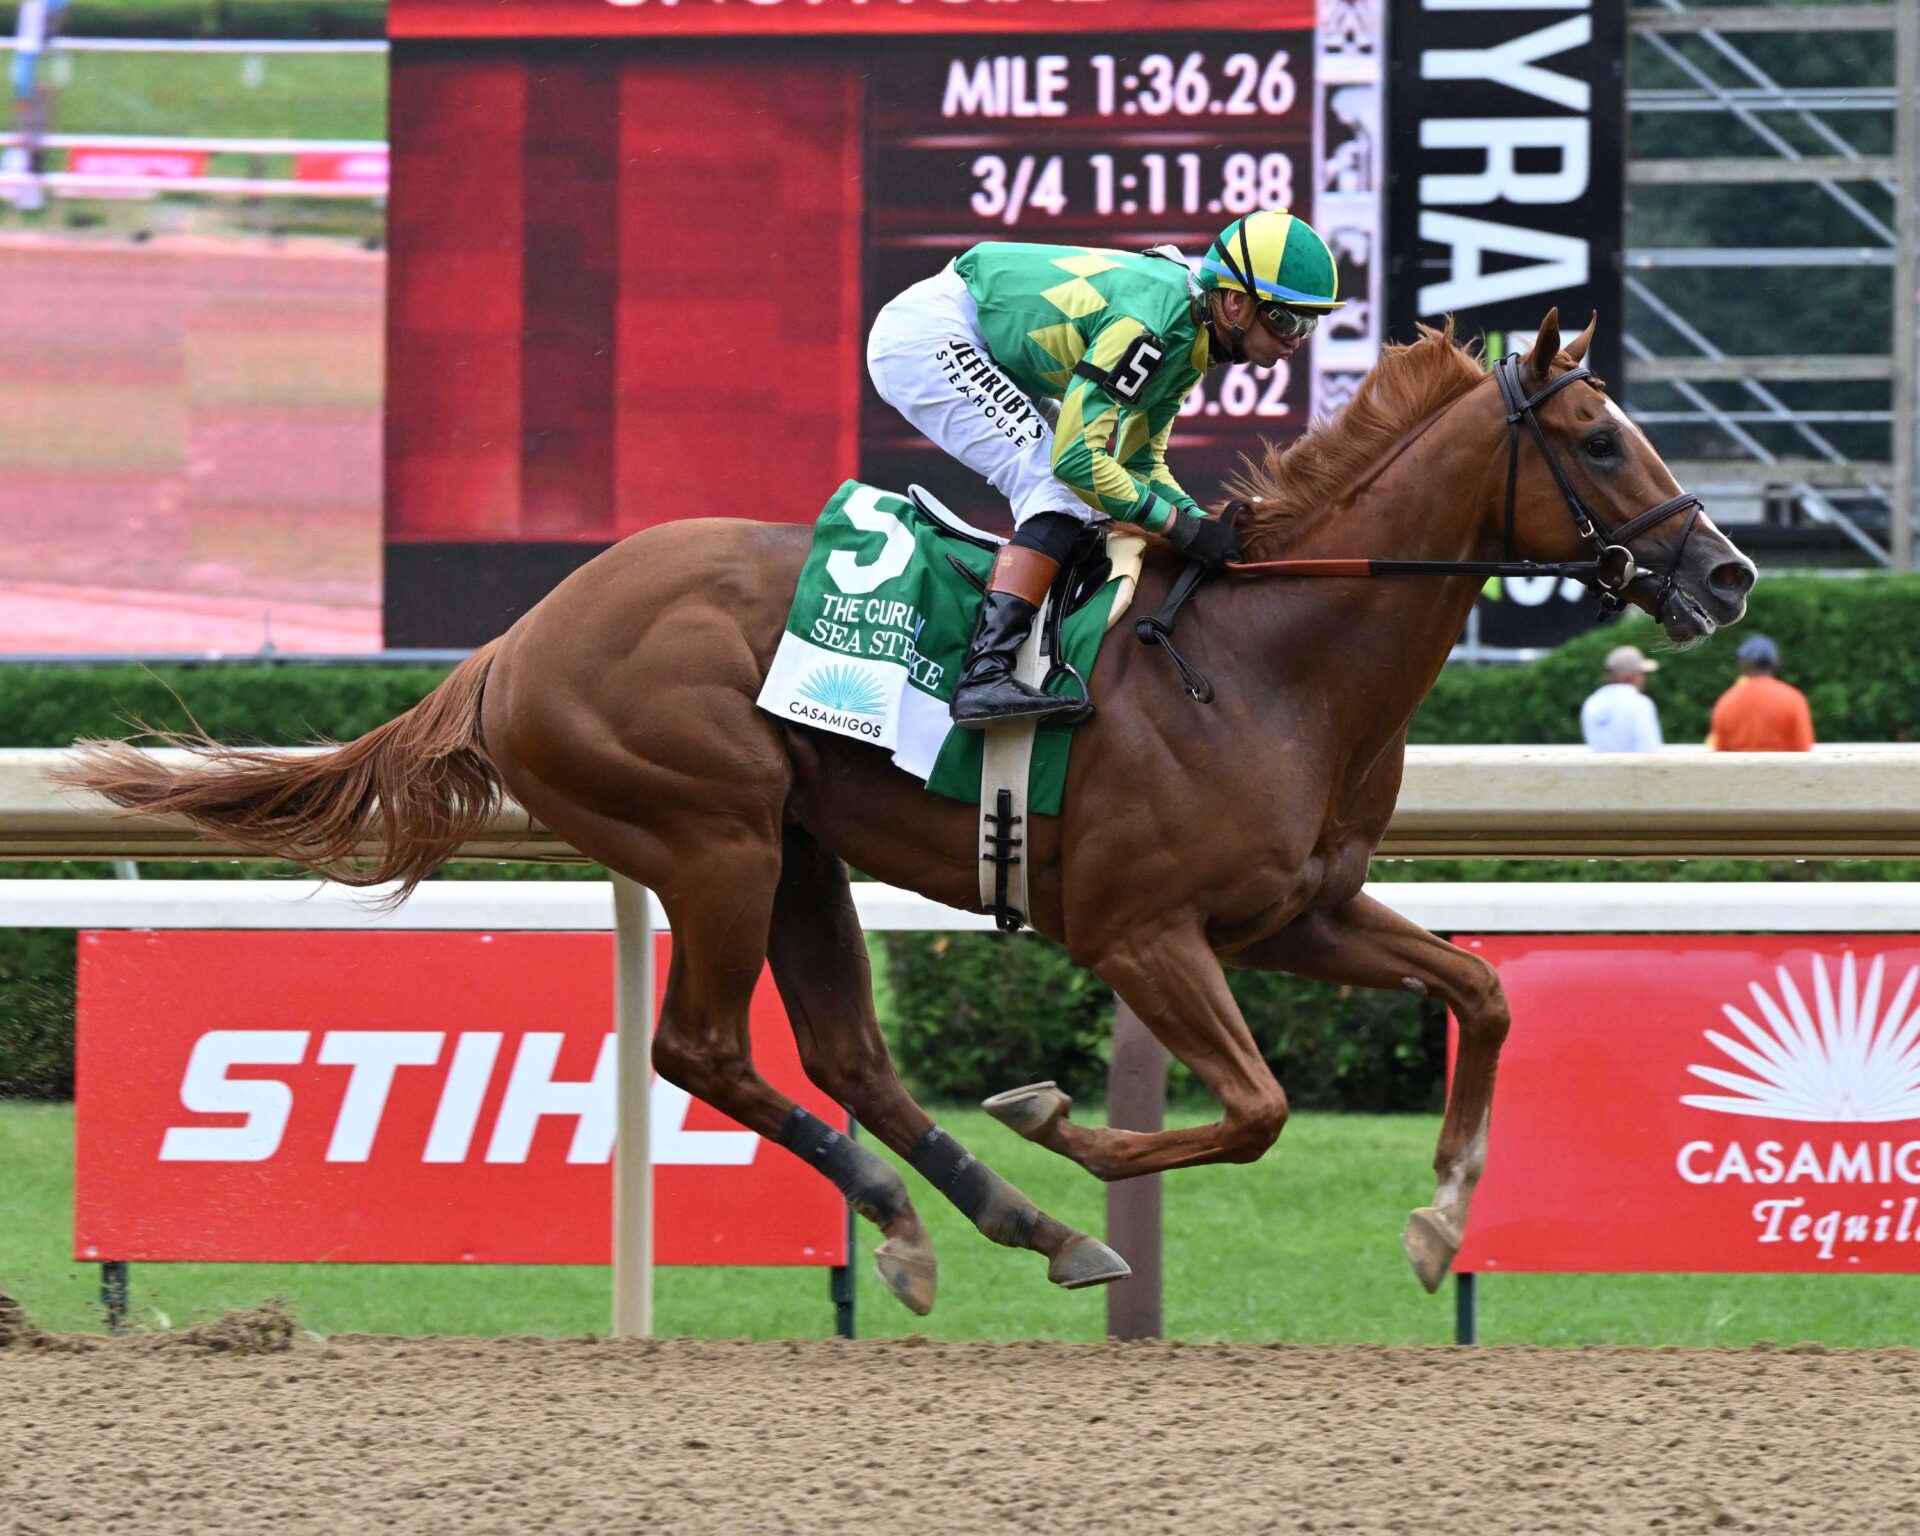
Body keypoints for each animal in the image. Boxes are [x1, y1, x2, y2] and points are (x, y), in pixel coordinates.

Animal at [61, 309, 1757, 1315]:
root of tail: (514, 641)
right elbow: (1261, 1107)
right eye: (1597, 437)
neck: (1268, 659)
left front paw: (1442, 1216)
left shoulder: (1302, 911)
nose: (1729, 574)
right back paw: (965, 1208)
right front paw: (1064, 1119)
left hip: (801, 854)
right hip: (714, 834)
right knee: (706, 1050)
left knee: (849, 1058)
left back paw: (999, 1224)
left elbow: (1482, 990)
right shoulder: (1142, 932)